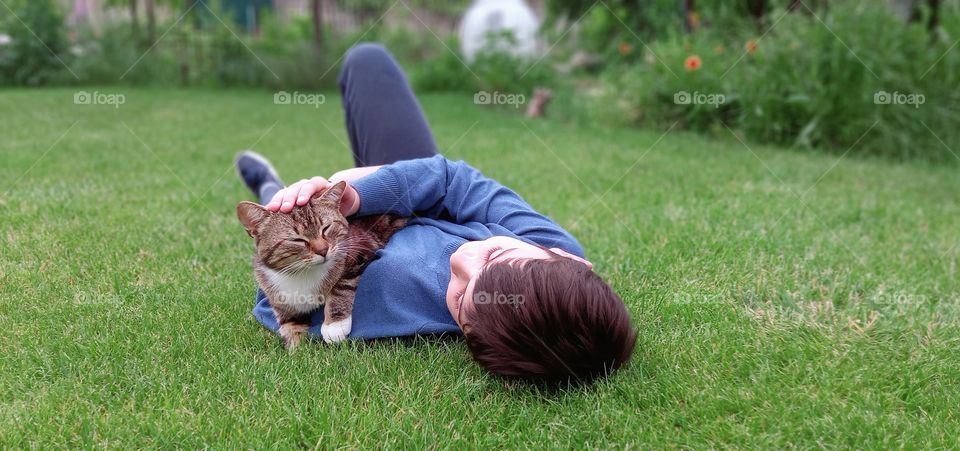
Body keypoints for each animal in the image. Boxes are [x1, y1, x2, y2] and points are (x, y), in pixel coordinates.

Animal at [240, 182, 408, 348]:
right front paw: (296, 348)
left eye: (326, 228)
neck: (301, 272)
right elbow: (290, 325)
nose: (323, 250)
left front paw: (335, 325)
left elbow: (342, 285)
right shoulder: (278, 297)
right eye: (297, 240)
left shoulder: (360, 248)